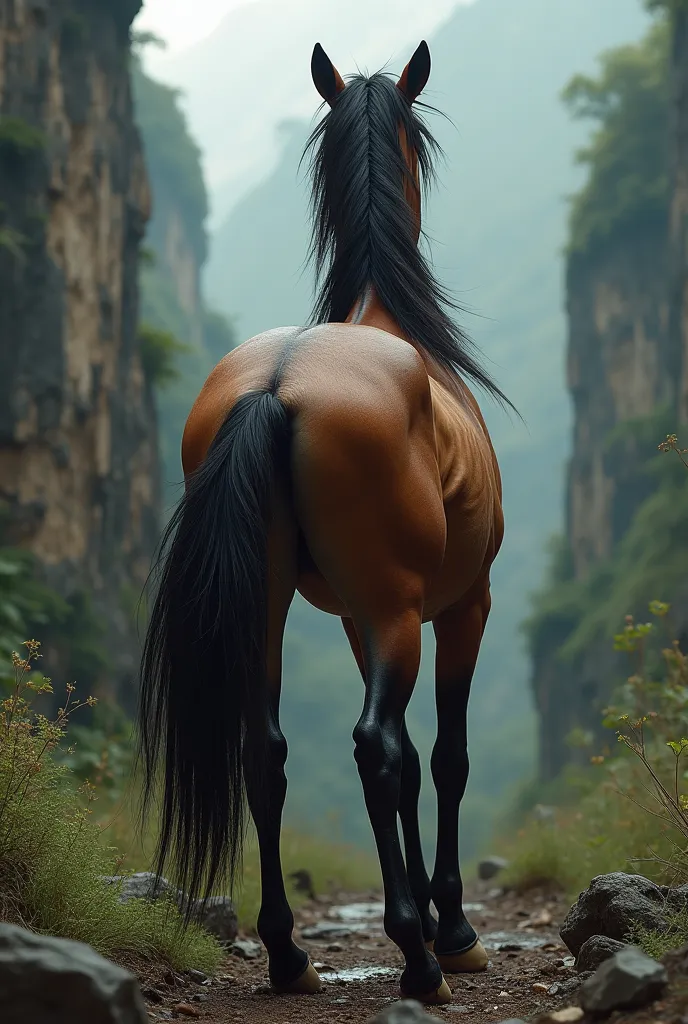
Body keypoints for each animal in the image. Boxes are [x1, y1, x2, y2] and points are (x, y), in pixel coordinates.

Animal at [137, 41, 507, 1007]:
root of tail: (278, 383)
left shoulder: (350, 620)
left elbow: (411, 763)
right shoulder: (457, 608)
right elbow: (442, 758)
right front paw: (452, 927)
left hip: (269, 606)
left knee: (265, 752)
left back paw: (287, 953)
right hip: (393, 611)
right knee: (375, 748)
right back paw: (417, 959)